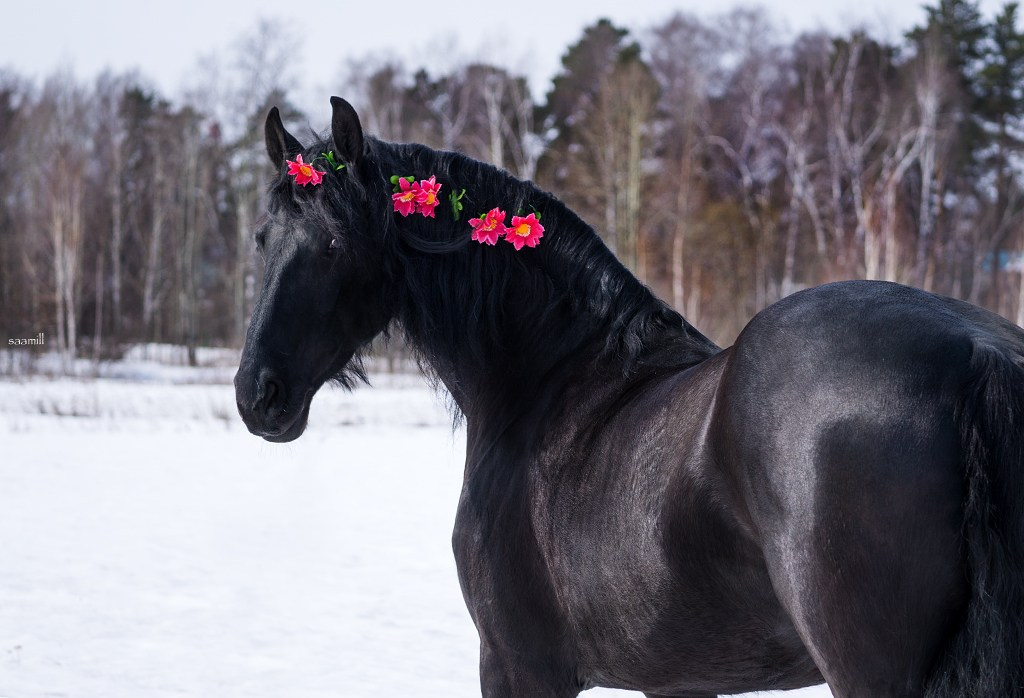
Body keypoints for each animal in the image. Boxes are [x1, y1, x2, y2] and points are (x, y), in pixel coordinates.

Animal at [234, 97, 1024, 697]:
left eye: (336, 244)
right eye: (262, 238)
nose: (256, 395)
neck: (554, 380)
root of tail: (976, 353)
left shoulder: (520, 667)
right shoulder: (681, 681)